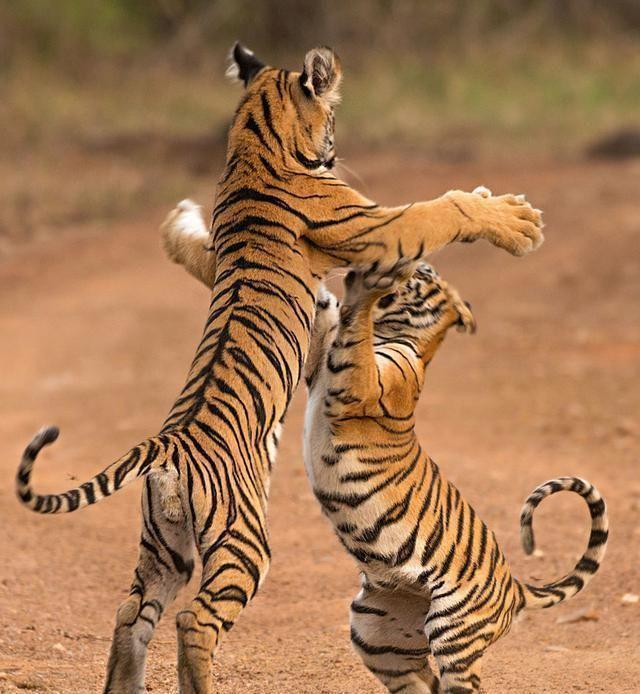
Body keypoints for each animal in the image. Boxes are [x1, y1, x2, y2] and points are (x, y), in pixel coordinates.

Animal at [15, 43, 544, 694]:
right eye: (334, 119)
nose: (337, 150)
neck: (252, 139)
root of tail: (170, 446)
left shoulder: (229, 259)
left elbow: (191, 249)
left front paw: (178, 219)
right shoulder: (373, 223)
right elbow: (443, 209)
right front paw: (517, 221)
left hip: (164, 548)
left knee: (131, 612)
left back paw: (125, 686)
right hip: (243, 546)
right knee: (194, 622)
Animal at [302, 266, 608, 694]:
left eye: (423, 272)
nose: (410, 266)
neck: (391, 330)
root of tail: (514, 587)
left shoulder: (359, 381)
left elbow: (353, 328)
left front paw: (358, 288)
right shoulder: (318, 367)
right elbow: (325, 321)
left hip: (452, 630)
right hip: (376, 632)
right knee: (420, 681)